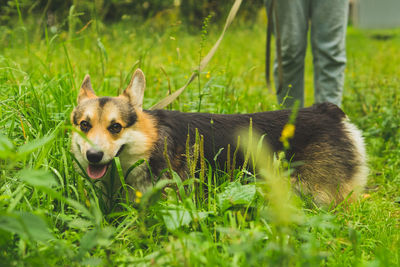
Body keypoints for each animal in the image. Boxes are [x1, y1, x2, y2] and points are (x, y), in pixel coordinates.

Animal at [71, 68, 368, 205]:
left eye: (116, 127)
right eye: (85, 125)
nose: (93, 156)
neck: (148, 144)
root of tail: (328, 111)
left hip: (324, 198)